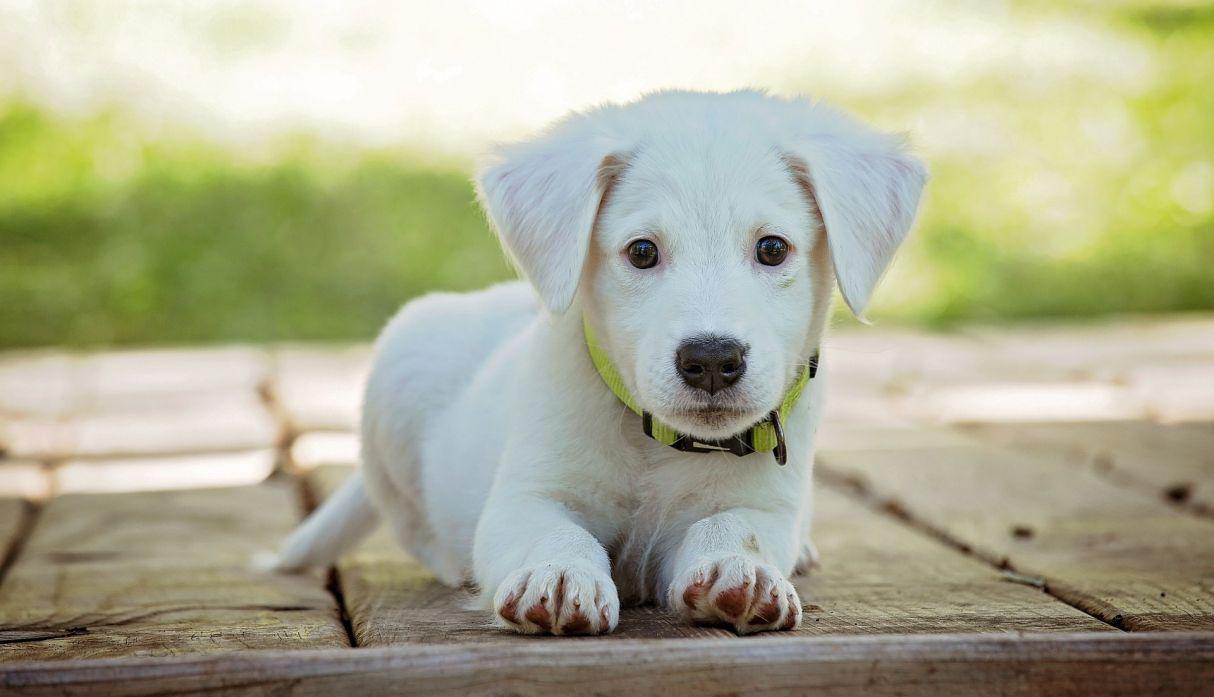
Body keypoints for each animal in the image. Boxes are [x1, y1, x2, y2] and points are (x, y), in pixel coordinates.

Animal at [273, 89, 917, 636]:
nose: (712, 360)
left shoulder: (764, 505)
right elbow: (556, 533)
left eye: (773, 248)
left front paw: (742, 571)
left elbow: (733, 526)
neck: (657, 444)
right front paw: (559, 576)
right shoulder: (526, 497)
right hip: (399, 374)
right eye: (643, 252)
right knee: (415, 526)